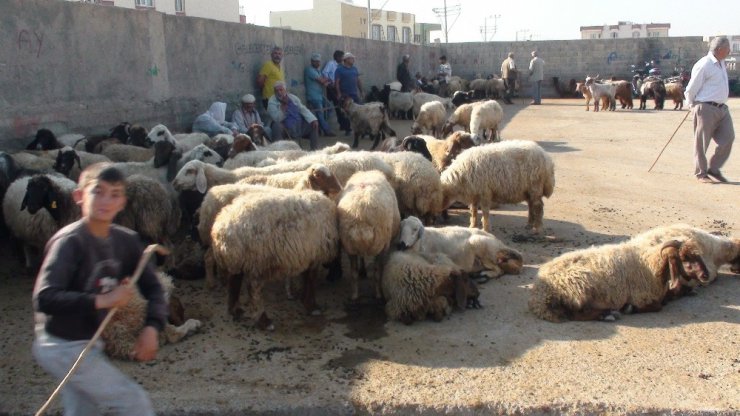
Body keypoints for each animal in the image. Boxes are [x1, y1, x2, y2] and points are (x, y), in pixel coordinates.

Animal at [210, 187, 340, 330]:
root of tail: (221, 229)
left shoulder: (307, 254)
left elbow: (306, 277)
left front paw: (304, 300)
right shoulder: (314, 254)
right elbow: (310, 279)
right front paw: (311, 306)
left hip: (239, 259)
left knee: (234, 281)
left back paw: (235, 310)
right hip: (257, 260)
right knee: (253, 289)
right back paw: (263, 321)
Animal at [338, 169, 402, 302]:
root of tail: (360, 214)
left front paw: (362, 271)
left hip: (348, 246)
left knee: (353, 273)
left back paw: (354, 295)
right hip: (381, 243)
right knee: (377, 273)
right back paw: (378, 294)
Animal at [396, 216, 524, 282]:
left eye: (415, 230)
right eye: (401, 228)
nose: (402, 244)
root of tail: (500, 243)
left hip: (483, 248)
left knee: (499, 270)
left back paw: (484, 275)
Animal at [528, 237, 712, 322]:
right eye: (686, 259)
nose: (706, 275)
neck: (649, 265)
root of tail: (539, 294)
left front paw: (689, 290)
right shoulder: (642, 296)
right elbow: (658, 306)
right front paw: (629, 308)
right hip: (580, 289)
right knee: (575, 314)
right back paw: (607, 314)